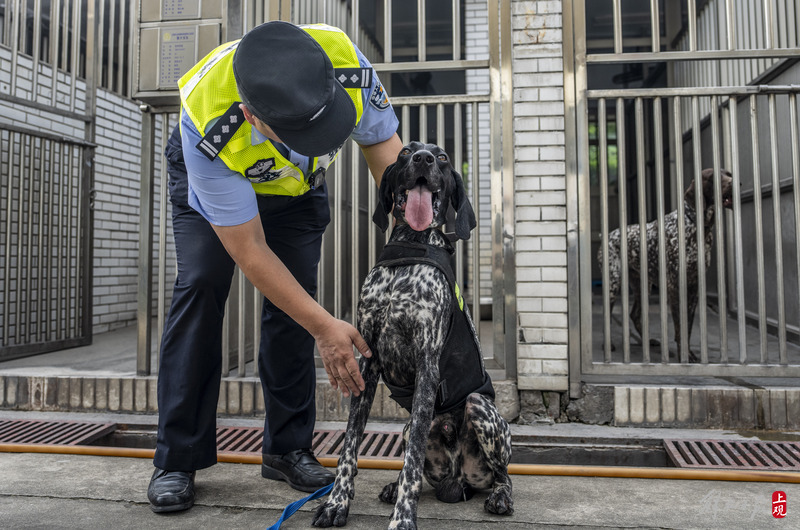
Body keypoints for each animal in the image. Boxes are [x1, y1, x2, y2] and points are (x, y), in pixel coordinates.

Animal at [310, 141, 512, 528]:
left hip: (481, 409)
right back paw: (392, 486)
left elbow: (413, 460)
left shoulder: (427, 366)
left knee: (502, 474)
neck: (410, 249)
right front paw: (336, 503)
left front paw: (403, 519)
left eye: (443, 157)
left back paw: (500, 497)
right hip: (406, 431)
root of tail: (458, 481)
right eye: (405, 151)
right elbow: (349, 446)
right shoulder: (367, 364)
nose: (424, 159)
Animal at [600, 169, 736, 358]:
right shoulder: (674, 286)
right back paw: (608, 345)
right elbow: (679, 326)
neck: (695, 225)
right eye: (711, 177)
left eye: (728, 174)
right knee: (607, 314)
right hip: (613, 283)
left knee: (635, 315)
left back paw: (647, 342)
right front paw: (684, 356)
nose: (735, 182)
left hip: (643, 286)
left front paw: (688, 354)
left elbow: (688, 326)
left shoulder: (693, 287)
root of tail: (607, 235)